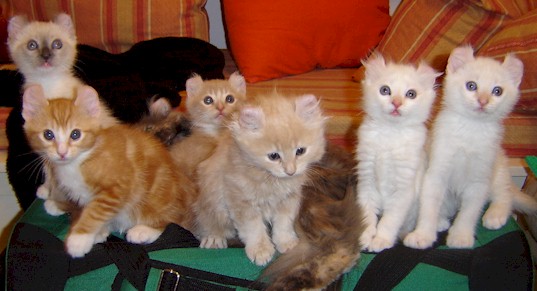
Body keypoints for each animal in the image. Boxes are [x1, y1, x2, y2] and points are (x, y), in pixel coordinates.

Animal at [356, 54, 440, 253]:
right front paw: (365, 236)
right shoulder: (366, 182)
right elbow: (367, 215)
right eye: (385, 90)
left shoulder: (403, 190)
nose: (396, 103)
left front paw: (381, 240)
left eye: (411, 94)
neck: (390, 133)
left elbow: (389, 220)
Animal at [402, 46, 536, 250]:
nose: (483, 100)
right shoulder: (436, 169)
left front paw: (461, 237)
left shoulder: (479, 179)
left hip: (497, 167)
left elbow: (470, 211)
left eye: (497, 91)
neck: (470, 130)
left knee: (504, 193)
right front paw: (424, 233)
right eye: (471, 85)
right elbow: (430, 204)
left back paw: (495, 214)